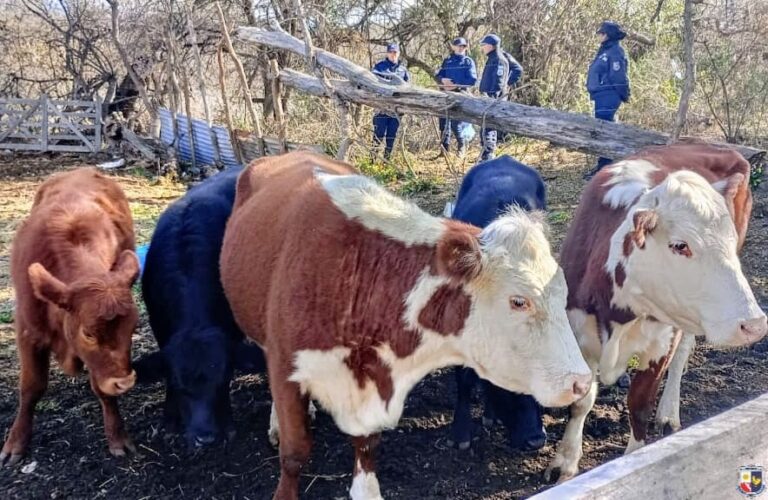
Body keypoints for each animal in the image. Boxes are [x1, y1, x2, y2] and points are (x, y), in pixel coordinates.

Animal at [1, 168, 140, 465]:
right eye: (88, 332)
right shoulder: (27, 331)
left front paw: (117, 436)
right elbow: (31, 387)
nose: (124, 383)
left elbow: (101, 388)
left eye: (133, 328)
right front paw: (16, 442)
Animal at [135, 167, 267, 447]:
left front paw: (228, 425)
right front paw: (169, 422)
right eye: (179, 384)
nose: (204, 437)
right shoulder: (159, 326)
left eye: (222, 380)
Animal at [544, 142, 767, 483]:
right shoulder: (578, 331)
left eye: (729, 242)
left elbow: (639, 405)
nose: (754, 324)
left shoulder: (661, 342)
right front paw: (565, 463)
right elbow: (582, 401)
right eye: (680, 245)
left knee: (683, 351)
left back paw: (668, 413)